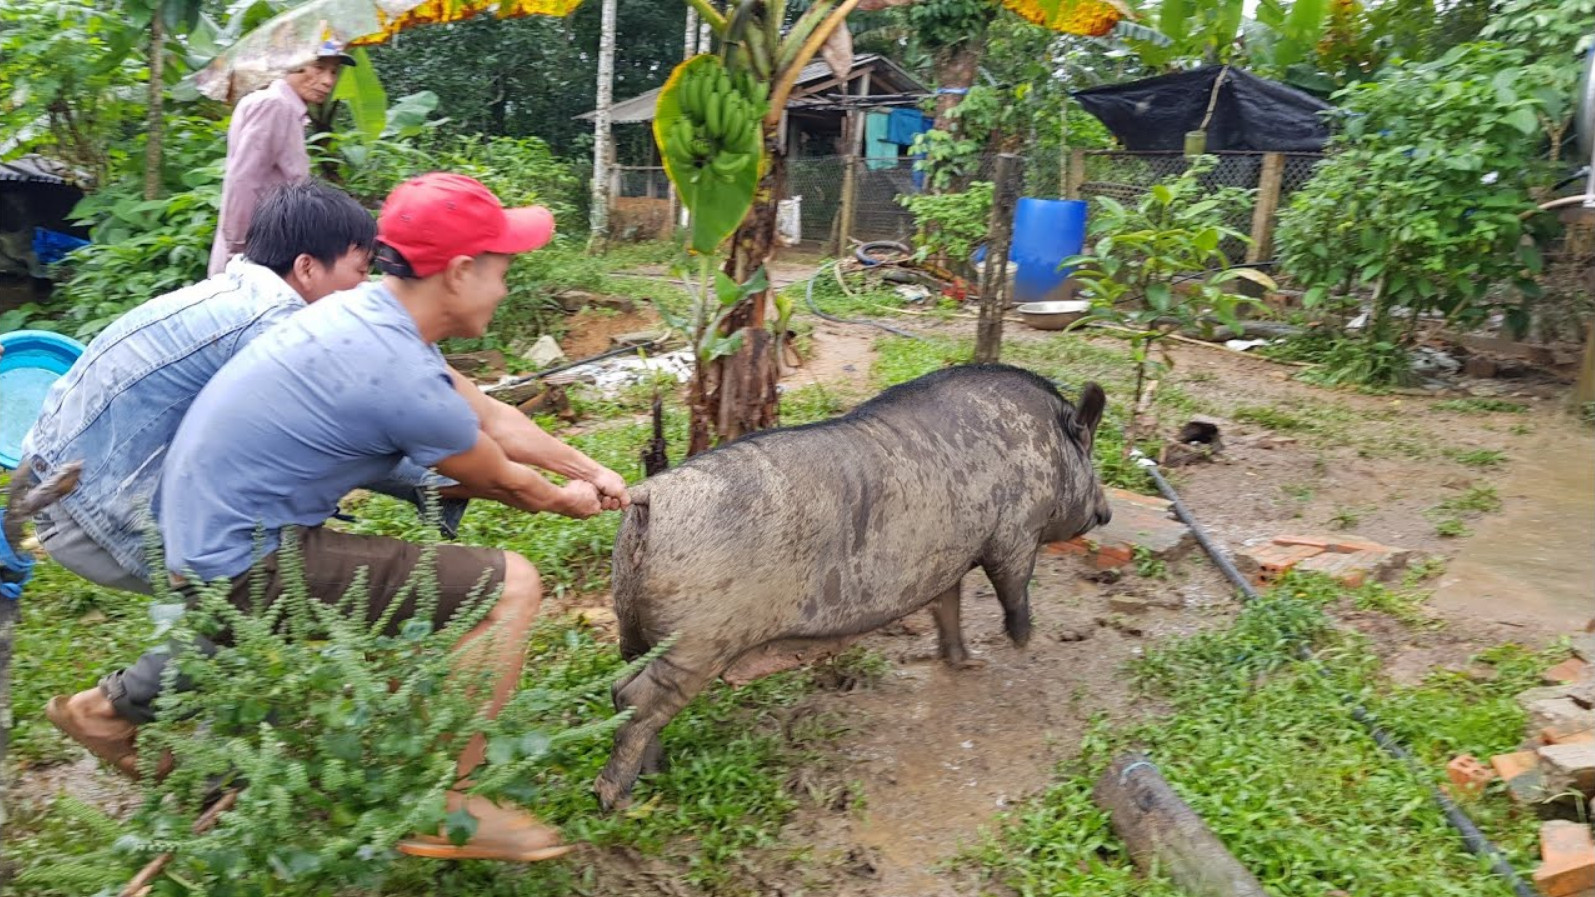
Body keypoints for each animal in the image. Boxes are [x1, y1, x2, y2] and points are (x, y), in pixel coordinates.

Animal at [596, 359, 1110, 807]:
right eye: (1091, 456)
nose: (1106, 511)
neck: (1047, 441)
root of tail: (648, 495)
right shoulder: (1015, 532)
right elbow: (1013, 587)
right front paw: (1024, 642)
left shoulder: (947, 561)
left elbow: (949, 607)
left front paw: (968, 664)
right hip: (697, 644)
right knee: (632, 696)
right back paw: (615, 799)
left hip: (639, 629)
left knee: (626, 688)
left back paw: (654, 773)